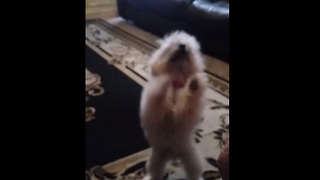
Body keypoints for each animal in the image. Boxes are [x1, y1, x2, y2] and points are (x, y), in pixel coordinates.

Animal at [141, 31, 208, 180]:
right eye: (173, 44)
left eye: (189, 47)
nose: (182, 46)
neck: (176, 83)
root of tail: (172, 156)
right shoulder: (153, 111)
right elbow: (157, 93)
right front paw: (162, 81)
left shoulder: (182, 115)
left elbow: (186, 104)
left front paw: (194, 84)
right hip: (155, 159)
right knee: (155, 173)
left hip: (192, 158)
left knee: (194, 174)